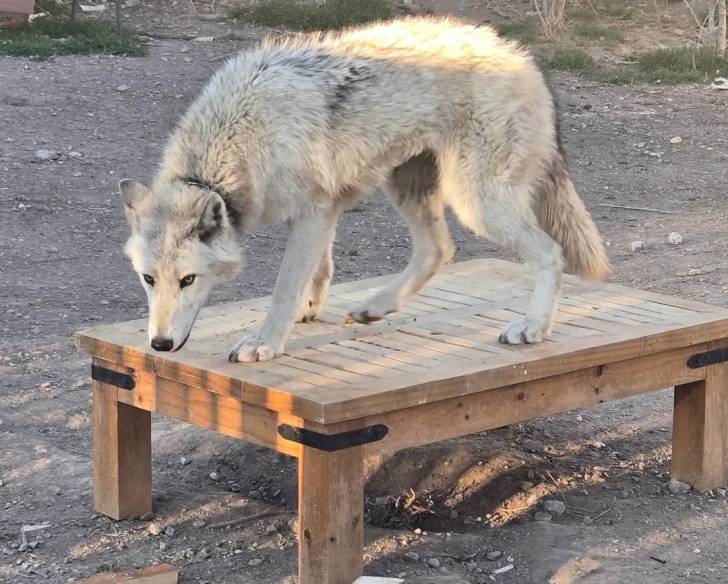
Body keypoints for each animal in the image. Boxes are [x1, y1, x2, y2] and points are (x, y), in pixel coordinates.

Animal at [119, 16, 610, 362]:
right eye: (148, 279)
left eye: (187, 280)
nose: (160, 345)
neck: (239, 135)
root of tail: (522, 56)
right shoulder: (323, 209)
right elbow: (320, 268)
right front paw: (309, 308)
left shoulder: (313, 210)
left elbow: (284, 287)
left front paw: (265, 342)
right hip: (408, 189)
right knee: (438, 250)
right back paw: (376, 307)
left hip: (477, 203)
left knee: (550, 254)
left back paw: (532, 328)